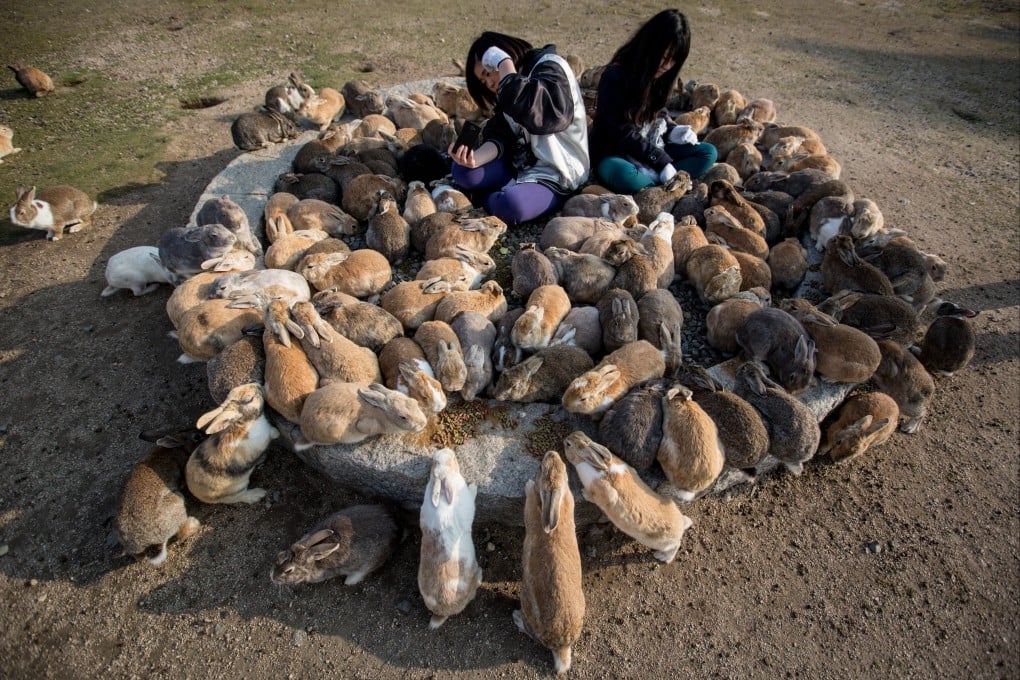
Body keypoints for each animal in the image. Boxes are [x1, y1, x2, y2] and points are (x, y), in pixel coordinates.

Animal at [114, 430, 203, 565]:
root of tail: (147, 542)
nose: (205, 434)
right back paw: (194, 523)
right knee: (181, 533)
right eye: (196, 437)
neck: (178, 448)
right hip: (177, 500)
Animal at [271, 504, 403, 586]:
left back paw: (349, 581)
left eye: (288, 570)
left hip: (370, 562)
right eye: (279, 556)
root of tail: (397, 528)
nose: (272, 577)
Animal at [297, 381, 428, 449]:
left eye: (414, 401)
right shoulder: (366, 424)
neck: (384, 413)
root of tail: (306, 432)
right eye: (403, 417)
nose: (423, 423)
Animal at [515, 451, 585, 676]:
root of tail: (561, 645)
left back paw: (517, 619)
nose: (551, 453)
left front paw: (528, 485)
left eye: (539, 469)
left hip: (526, 601)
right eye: (563, 466)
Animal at [564, 430, 693, 562]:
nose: (565, 439)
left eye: (568, 444)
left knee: (675, 545)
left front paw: (584, 493)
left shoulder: (605, 492)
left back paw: (662, 557)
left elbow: (600, 497)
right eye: (579, 433)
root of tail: (680, 527)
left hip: (661, 543)